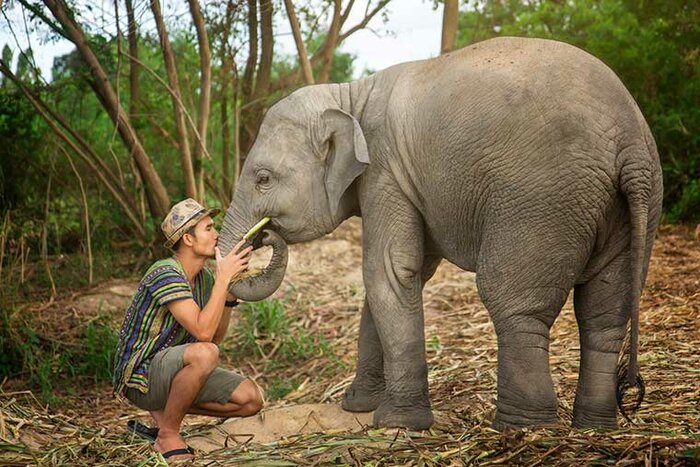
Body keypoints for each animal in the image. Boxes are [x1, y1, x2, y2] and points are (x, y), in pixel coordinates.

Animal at [222, 36, 663, 431]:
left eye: (263, 178)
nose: (263, 236)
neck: (351, 96)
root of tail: (629, 143)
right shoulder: (405, 183)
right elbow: (401, 276)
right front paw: (359, 407)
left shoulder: (386, 173)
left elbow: (388, 271)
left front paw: (398, 423)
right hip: (630, 208)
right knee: (604, 315)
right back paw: (595, 427)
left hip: (543, 201)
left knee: (514, 304)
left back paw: (523, 427)